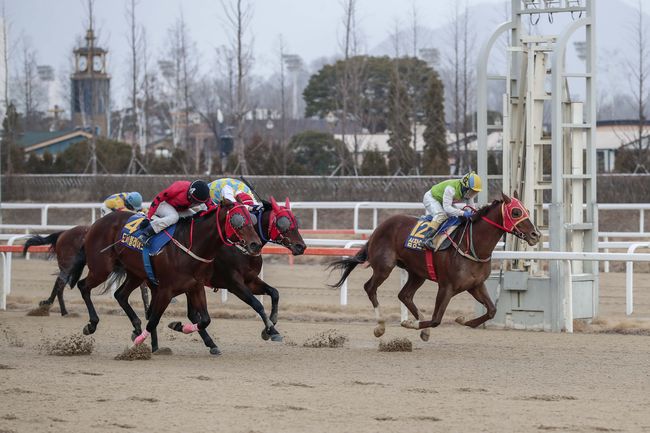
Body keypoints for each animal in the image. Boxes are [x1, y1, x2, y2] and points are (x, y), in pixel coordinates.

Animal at [65, 199, 258, 354]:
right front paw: (137, 344)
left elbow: (205, 320)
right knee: (84, 286)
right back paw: (92, 324)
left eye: (251, 218)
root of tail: (94, 225)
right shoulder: (166, 290)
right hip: (101, 268)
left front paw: (179, 326)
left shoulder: (195, 287)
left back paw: (135, 325)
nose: (255, 244)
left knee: (120, 295)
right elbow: (153, 320)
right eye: (238, 219)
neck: (191, 245)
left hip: (135, 273)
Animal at [168, 197, 308, 342]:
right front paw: (270, 330)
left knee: (192, 314)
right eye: (283, 222)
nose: (301, 246)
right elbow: (257, 304)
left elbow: (274, 293)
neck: (241, 250)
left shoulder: (250, 281)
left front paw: (271, 329)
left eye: (295, 220)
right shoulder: (234, 284)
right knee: (192, 314)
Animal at [330, 192, 536, 340]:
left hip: (417, 273)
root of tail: (378, 229)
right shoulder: (446, 286)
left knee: (404, 295)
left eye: (527, 209)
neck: (472, 245)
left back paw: (421, 329)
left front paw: (464, 320)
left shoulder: (475, 285)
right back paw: (380, 326)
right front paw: (410, 324)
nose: (536, 235)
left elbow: (492, 310)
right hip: (384, 266)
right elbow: (437, 319)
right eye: (516, 212)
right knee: (370, 288)